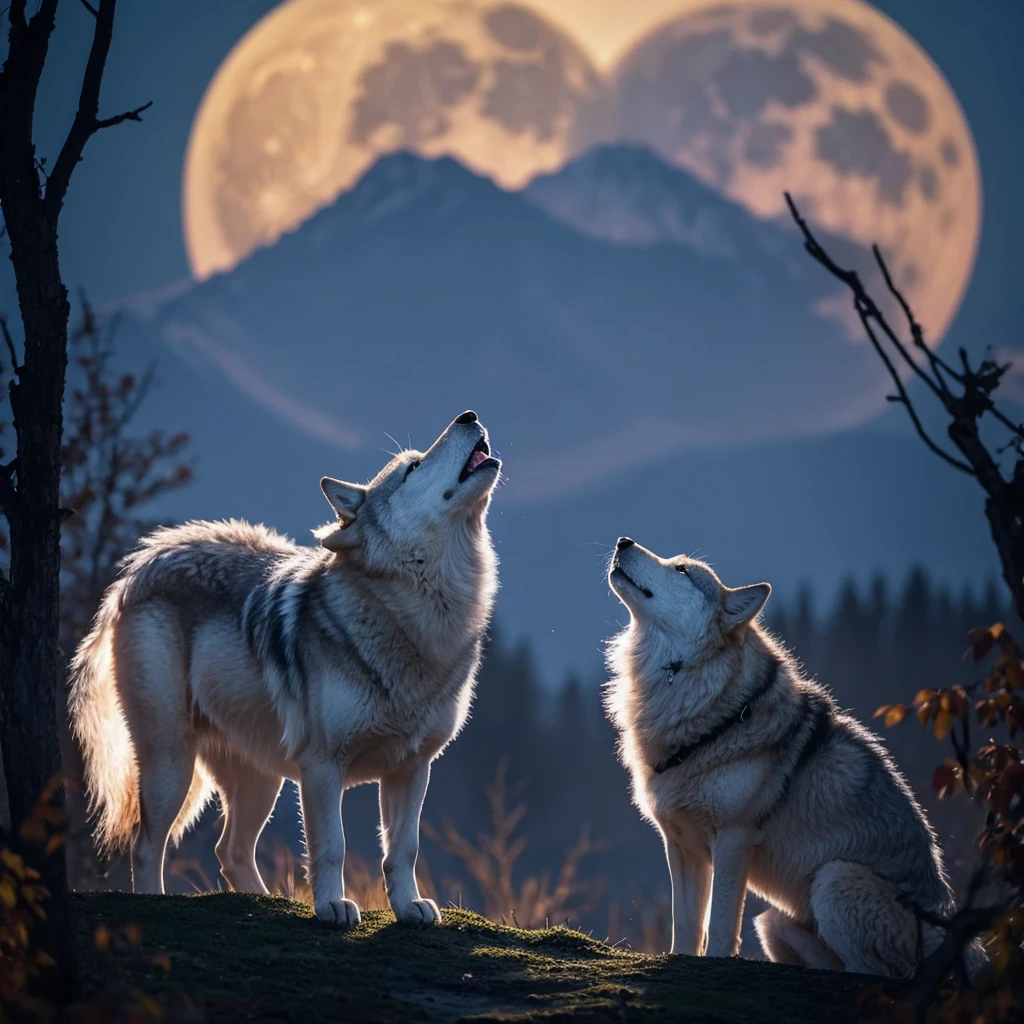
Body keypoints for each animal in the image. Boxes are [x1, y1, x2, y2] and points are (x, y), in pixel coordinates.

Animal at [69, 410, 500, 929]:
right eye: (412, 467)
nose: (469, 415)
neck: (419, 617)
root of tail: (141, 566)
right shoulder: (322, 768)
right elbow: (331, 847)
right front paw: (333, 906)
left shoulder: (413, 767)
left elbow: (403, 849)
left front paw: (407, 907)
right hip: (171, 763)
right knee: (147, 845)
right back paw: (157, 902)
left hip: (261, 780)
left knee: (230, 851)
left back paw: (268, 900)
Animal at [603, 536, 986, 977]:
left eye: (682, 570)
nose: (623, 540)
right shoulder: (682, 845)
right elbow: (686, 927)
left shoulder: (733, 841)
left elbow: (720, 928)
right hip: (773, 922)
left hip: (834, 878)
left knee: (871, 975)